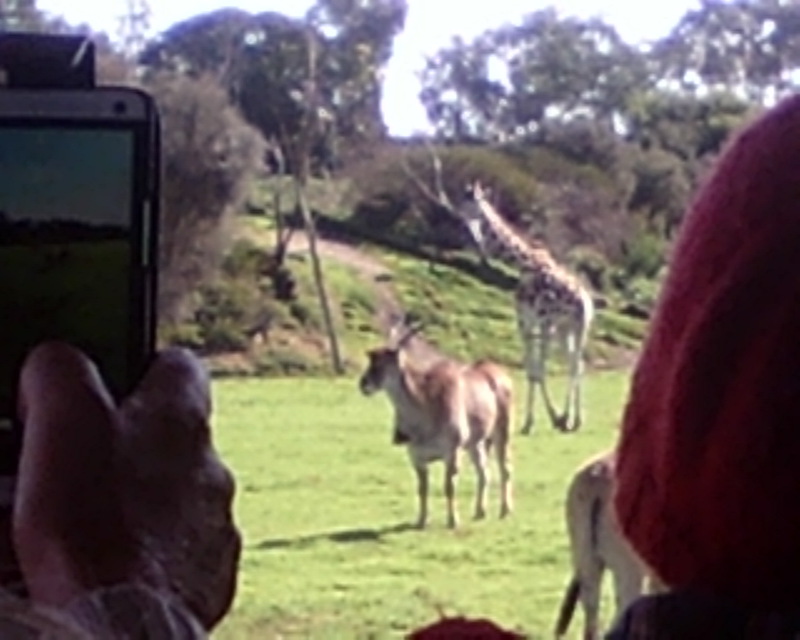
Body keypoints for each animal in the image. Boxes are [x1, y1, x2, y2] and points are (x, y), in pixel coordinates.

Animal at [358, 318, 512, 528]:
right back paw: (480, 512)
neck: (426, 406)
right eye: (371, 360)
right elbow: (422, 488)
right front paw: (421, 521)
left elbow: (449, 486)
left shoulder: (452, 452)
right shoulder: (416, 457)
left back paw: (505, 510)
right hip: (475, 443)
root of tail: (500, 373)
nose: (363, 384)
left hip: (502, 431)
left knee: (505, 468)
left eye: (383, 362)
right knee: (484, 472)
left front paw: (453, 521)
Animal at [454, 180, 592, 436]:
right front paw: (543, 420)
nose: (457, 213)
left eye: (468, 200)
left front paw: (542, 420)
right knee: (576, 364)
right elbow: (533, 371)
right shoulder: (534, 323)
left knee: (569, 365)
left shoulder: (533, 321)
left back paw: (566, 417)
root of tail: (585, 301)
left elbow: (536, 371)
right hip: (570, 329)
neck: (524, 264)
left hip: (564, 327)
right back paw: (575, 419)